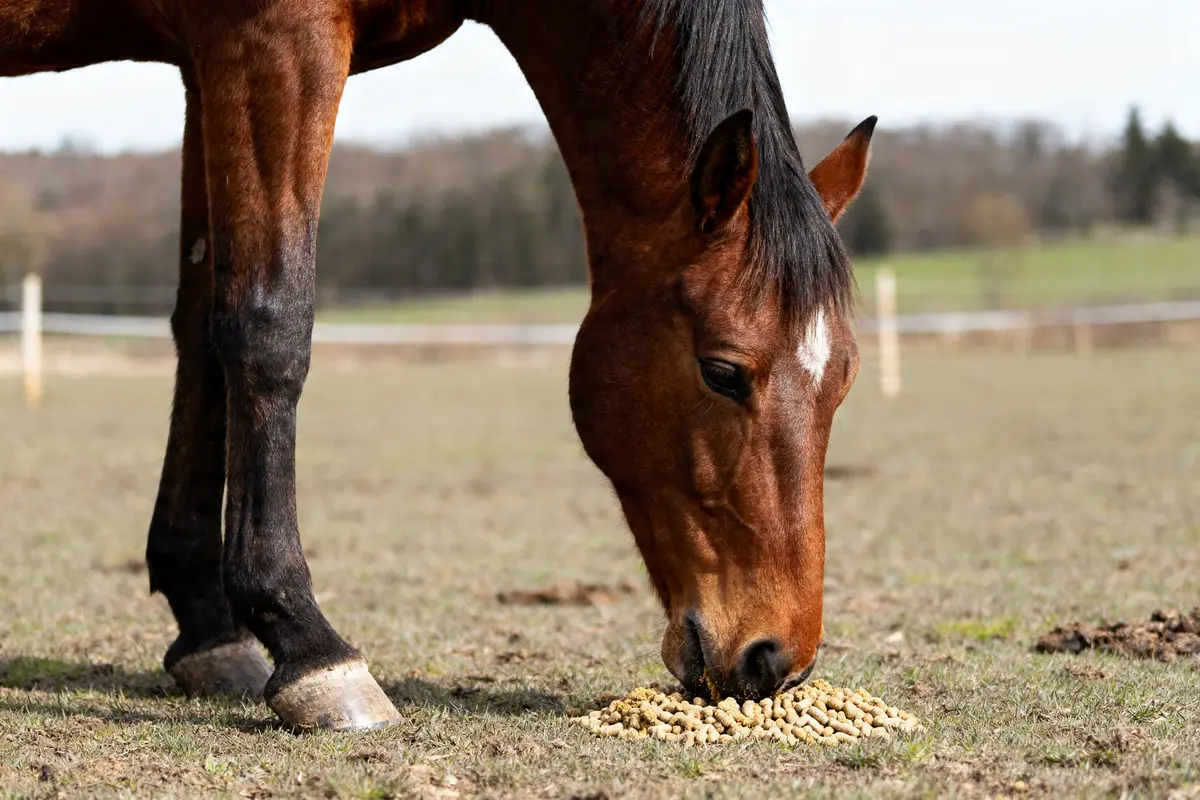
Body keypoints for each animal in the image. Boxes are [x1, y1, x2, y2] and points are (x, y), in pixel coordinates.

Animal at [1, 0, 875, 730]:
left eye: (844, 382)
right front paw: (311, 648)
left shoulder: (202, 61)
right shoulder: (270, 36)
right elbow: (267, 324)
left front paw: (210, 626)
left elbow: (205, 330)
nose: (774, 659)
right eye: (723, 371)